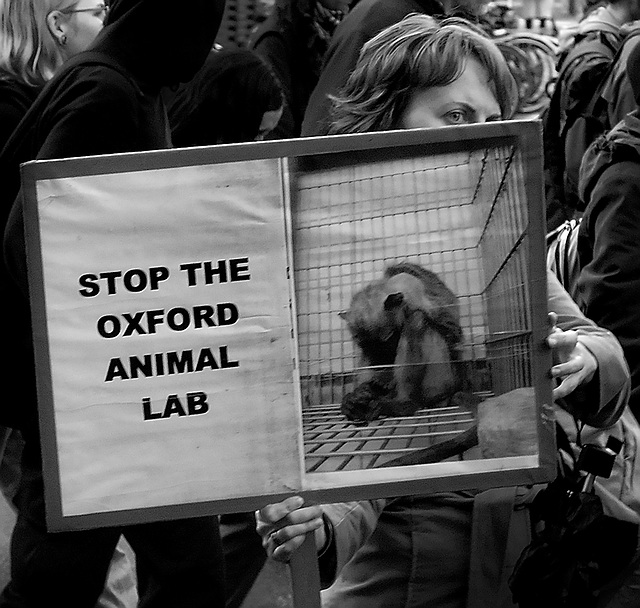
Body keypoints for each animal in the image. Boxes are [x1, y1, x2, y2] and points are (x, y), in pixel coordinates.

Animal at [340, 262, 470, 422]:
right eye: (364, 345)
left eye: (388, 339)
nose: (381, 360)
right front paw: (366, 390)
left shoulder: (413, 291)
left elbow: (452, 335)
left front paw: (384, 380)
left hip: (442, 384)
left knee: (417, 320)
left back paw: (403, 404)